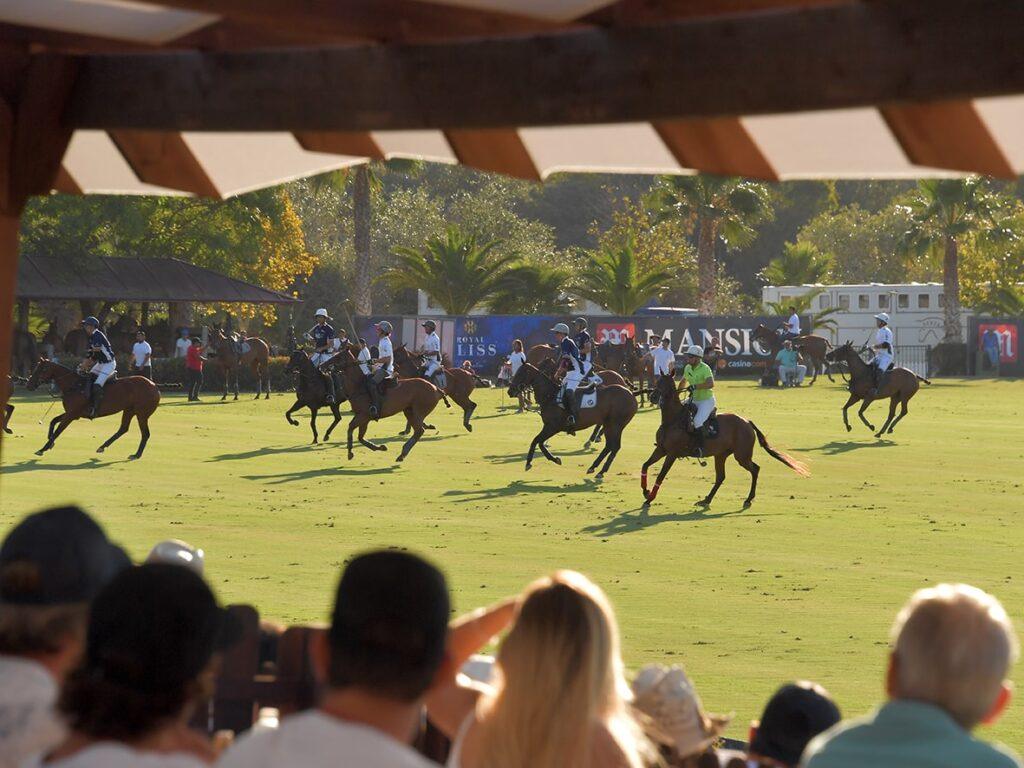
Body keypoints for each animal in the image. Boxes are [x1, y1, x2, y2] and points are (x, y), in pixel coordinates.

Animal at [25, 360, 159, 460]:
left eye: (41, 369)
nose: (28, 385)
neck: (73, 385)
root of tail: (154, 386)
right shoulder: (72, 413)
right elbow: (53, 421)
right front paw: (50, 443)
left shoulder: (71, 415)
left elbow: (58, 431)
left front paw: (43, 449)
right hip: (129, 410)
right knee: (123, 428)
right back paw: (102, 447)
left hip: (142, 414)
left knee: (145, 433)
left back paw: (136, 454)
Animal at [638, 374, 806, 507]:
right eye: (657, 380)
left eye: (666, 384)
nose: (653, 397)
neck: (672, 420)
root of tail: (747, 422)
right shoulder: (661, 449)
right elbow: (645, 465)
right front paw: (646, 491)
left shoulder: (672, 453)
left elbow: (660, 476)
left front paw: (650, 498)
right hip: (721, 455)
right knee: (721, 477)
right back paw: (706, 499)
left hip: (742, 456)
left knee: (755, 469)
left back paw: (748, 499)